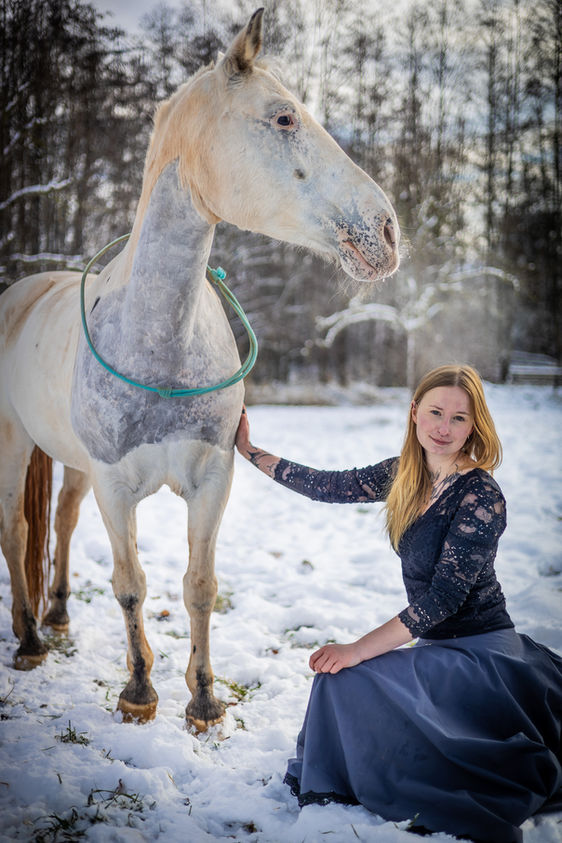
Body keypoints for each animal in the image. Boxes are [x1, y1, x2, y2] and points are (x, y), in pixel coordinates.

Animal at [0, 8, 400, 731]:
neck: (158, 340)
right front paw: (139, 690)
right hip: (15, 441)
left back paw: (59, 614)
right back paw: (29, 638)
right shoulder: (116, 486)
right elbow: (132, 587)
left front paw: (204, 697)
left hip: (72, 464)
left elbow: (200, 586)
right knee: (17, 531)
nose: (386, 230)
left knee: (61, 522)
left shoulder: (213, 478)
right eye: (283, 117)